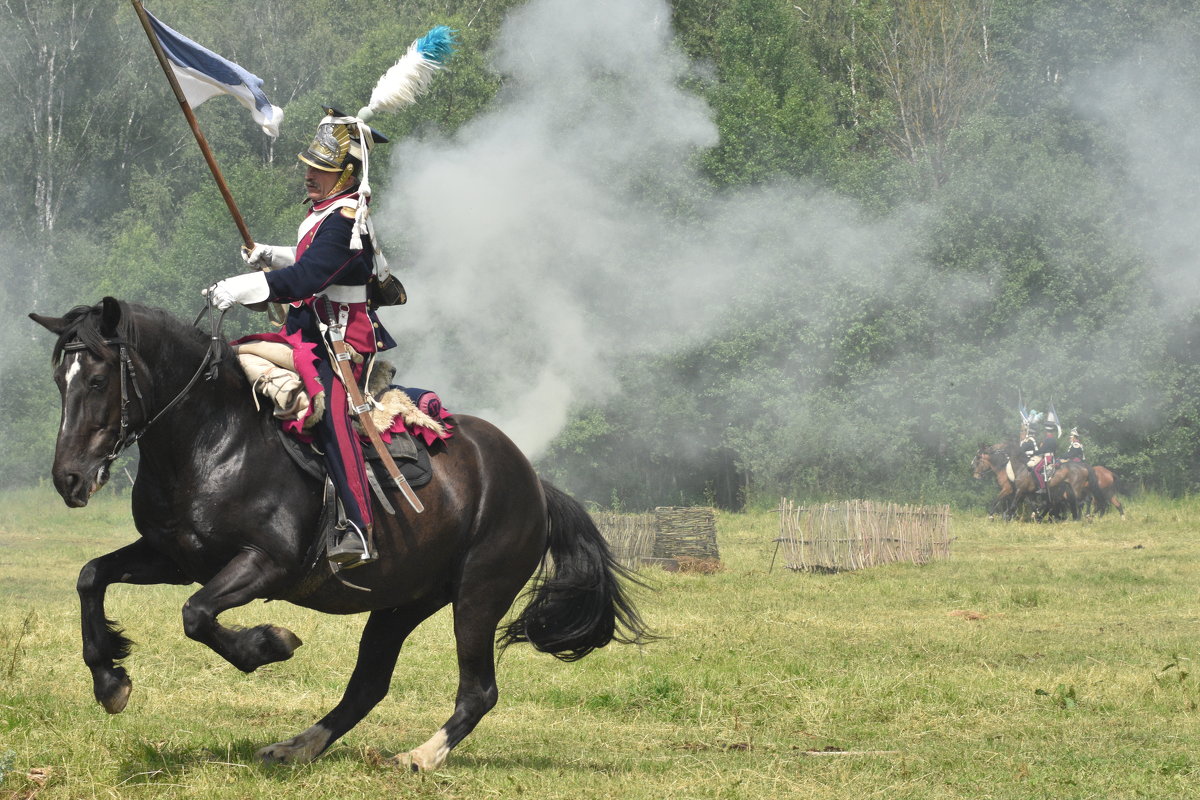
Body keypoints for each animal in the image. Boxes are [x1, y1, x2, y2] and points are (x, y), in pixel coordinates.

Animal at [28, 297, 652, 772]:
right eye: (59, 380)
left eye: (99, 378)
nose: (69, 479)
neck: (214, 437)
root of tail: (533, 483)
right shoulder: (174, 558)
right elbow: (91, 577)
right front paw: (109, 679)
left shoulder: (265, 564)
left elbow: (197, 615)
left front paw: (268, 645)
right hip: (402, 603)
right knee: (367, 685)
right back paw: (298, 747)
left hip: (478, 596)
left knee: (477, 690)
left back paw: (419, 758)